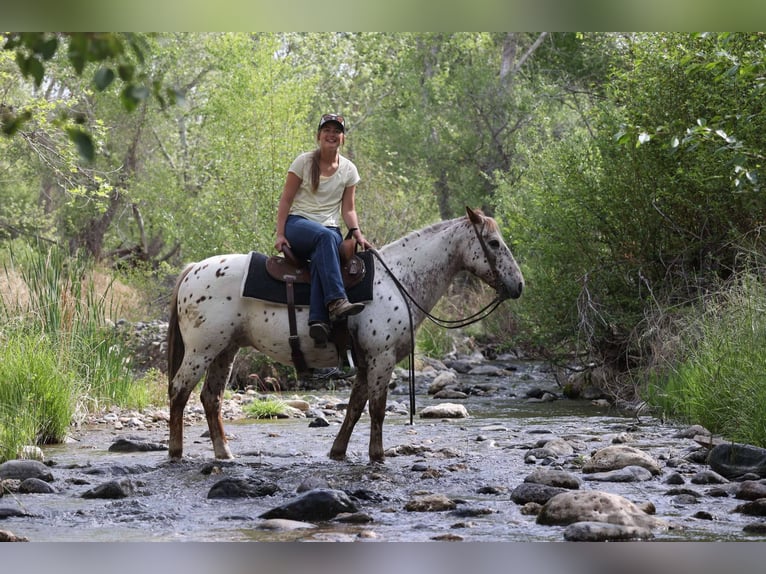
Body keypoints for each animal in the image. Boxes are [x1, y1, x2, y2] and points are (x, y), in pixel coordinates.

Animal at [167, 206, 524, 463]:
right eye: (493, 243)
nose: (518, 285)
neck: (397, 280)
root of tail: (193, 269)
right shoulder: (381, 358)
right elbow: (376, 408)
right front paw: (378, 457)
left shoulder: (366, 361)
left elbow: (355, 406)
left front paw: (338, 452)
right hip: (201, 351)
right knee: (179, 391)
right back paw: (175, 451)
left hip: (224, 351)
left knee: (210, 398)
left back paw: (224, 453)